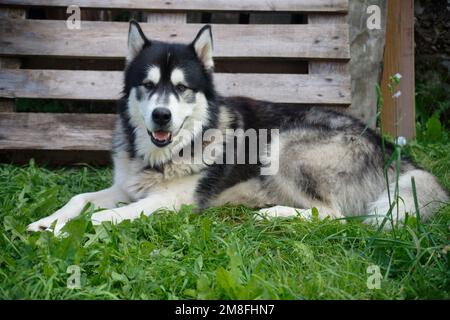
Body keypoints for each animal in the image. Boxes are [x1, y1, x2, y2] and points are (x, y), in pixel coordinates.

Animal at [26, 21, 448, 234]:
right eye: (147, 84)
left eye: (182, 87)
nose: (161, 116)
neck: (164, 156)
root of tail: (388, 147)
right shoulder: (125, 188)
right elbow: (79, 200)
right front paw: (47, 222)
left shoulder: (172, 202)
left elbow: (102, 216)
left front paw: (69, 231)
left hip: (285, 145)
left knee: (333, 214)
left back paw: (271, 213)